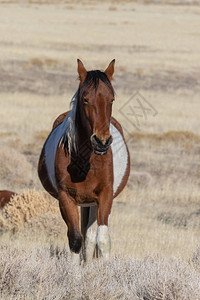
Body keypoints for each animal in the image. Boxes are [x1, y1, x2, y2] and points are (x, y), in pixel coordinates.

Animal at [38, 59, 130, 262]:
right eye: (85, 99)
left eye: (112, 99)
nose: (102, 141)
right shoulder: (66, 198)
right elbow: (75, 240)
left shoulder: (105, 196)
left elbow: (102, 240)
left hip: (93, 204)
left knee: (90, 237)